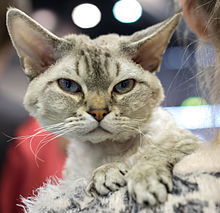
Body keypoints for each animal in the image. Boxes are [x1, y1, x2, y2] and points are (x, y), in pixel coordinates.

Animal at [6, 8, 201, 206]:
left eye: (124, 86)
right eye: (69, 86)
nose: (99, 112)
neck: (101, 153)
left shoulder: (192, 143)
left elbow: (156, 151)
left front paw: (140, 177)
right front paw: (108, 173)